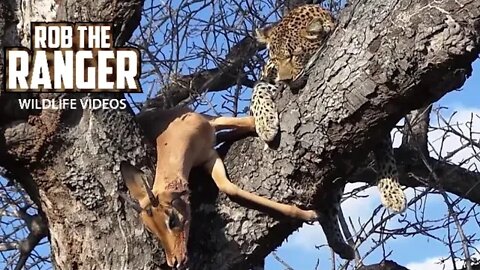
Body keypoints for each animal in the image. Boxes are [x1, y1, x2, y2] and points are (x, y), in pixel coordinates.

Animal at [249, 4, 406, 260]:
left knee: (328, 204)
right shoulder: (269, 80)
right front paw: (266, 124)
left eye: (294, 55)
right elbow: (259, 88)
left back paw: (340, 244)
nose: (285, 79)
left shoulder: (380, 115)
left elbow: (386, 155)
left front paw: (393, 194)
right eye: (275, 58)